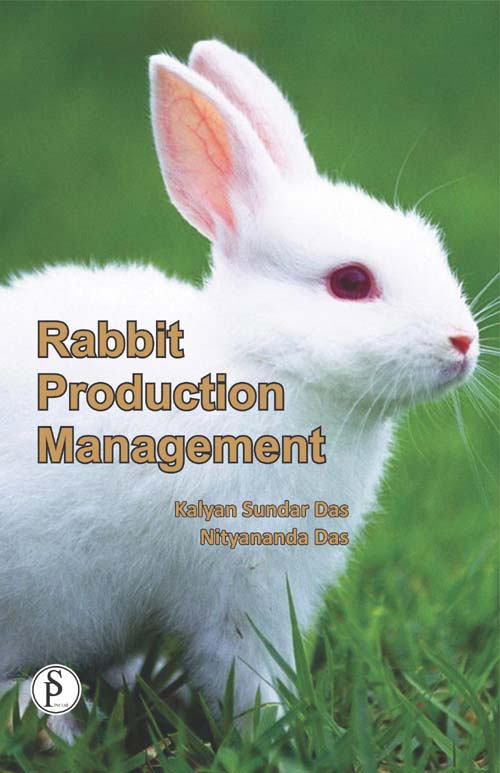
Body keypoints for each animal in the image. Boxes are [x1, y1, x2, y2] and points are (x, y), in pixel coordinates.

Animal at [0, 39, 479, 730]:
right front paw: (280, 730)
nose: (463, 342)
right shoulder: (243, 585)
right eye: (352, 282)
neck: (268, 369)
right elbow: (245, 671)